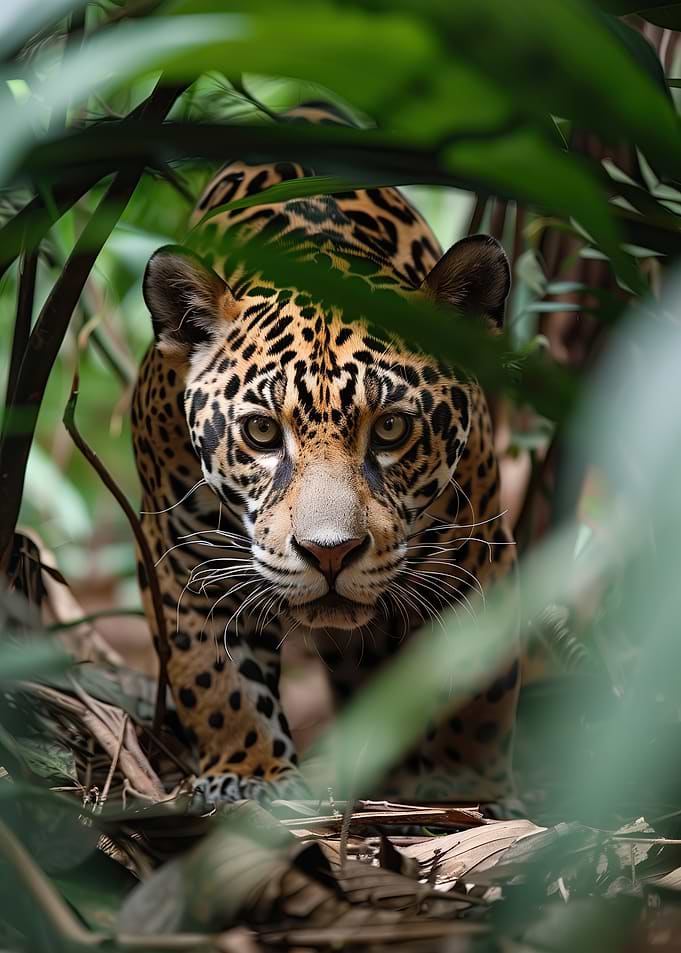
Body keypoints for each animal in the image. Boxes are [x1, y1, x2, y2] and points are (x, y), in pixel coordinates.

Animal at [132, 100, 520, 810]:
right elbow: (215, 677)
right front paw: (250, 773)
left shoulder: (474, 562)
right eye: (262, 433)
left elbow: (475, 691)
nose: (330, 554)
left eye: (390, 429)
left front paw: (464, 787)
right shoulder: (187, 561)